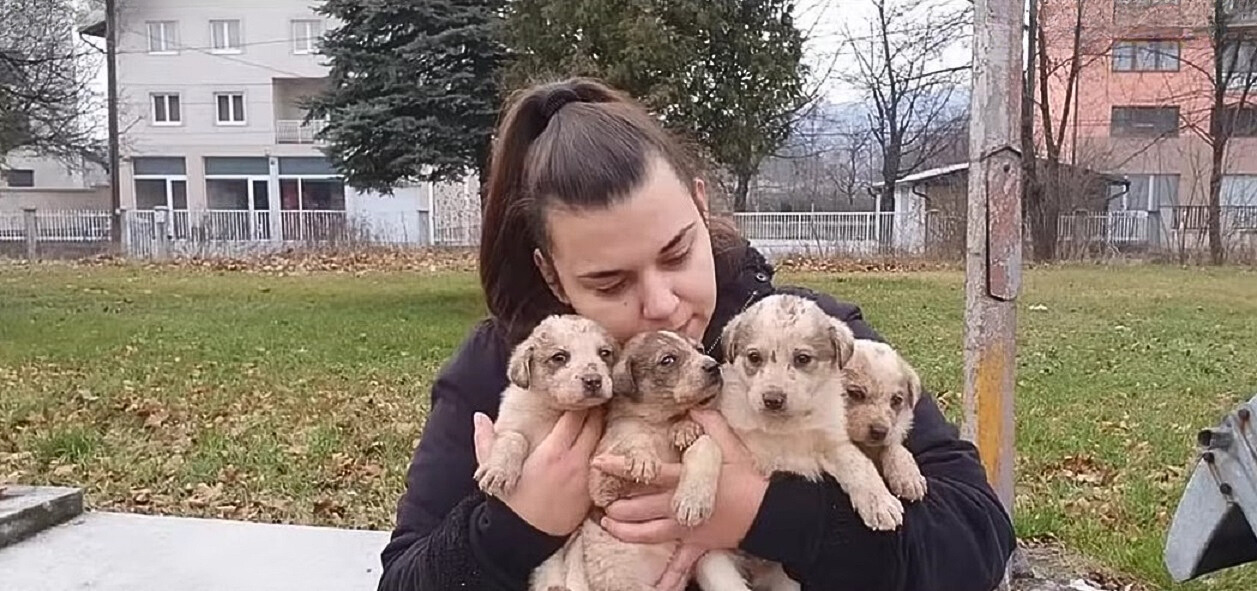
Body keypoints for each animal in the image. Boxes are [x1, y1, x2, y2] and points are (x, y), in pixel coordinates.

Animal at [472, 314, 615, 497]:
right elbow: (514, 438)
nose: (593, 381)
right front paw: (499, 471)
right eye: (559, 357)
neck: (554, 410)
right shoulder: (508, 423)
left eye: (604, 353)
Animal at [553, 329, 729, 591]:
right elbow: (632, 437)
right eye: (668, 360)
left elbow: (706, 444)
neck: (659, 422)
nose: (714, 366)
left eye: (699, 349)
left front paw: (693, 499)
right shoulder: (601, 484)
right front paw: (642, 458)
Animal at [688, 295, 905, 591]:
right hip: (713, 562)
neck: (782, 429)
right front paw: (693, 498)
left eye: (802, 359)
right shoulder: (722, 422)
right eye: (754, 357)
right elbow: (706, 444)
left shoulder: (832, 444)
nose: (773, 399)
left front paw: (880, 503)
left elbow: (859, 465)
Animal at [839, 339, 930, 500]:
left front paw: (908, 476)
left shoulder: (893, 430)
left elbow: (894, 445)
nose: (879, 432)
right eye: (856, 393)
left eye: (896, 400)